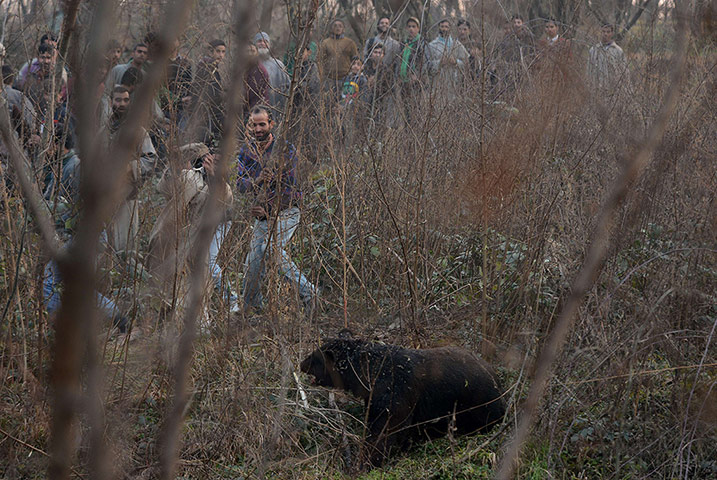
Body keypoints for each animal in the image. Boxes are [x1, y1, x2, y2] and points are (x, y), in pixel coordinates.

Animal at [300, 331, 506, 466]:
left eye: (314, 357)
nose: (301, 363)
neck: (368, 371)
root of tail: (497, 378)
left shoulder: (394, 391)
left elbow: (386, 427)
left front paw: (368, 461)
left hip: (479, 403)